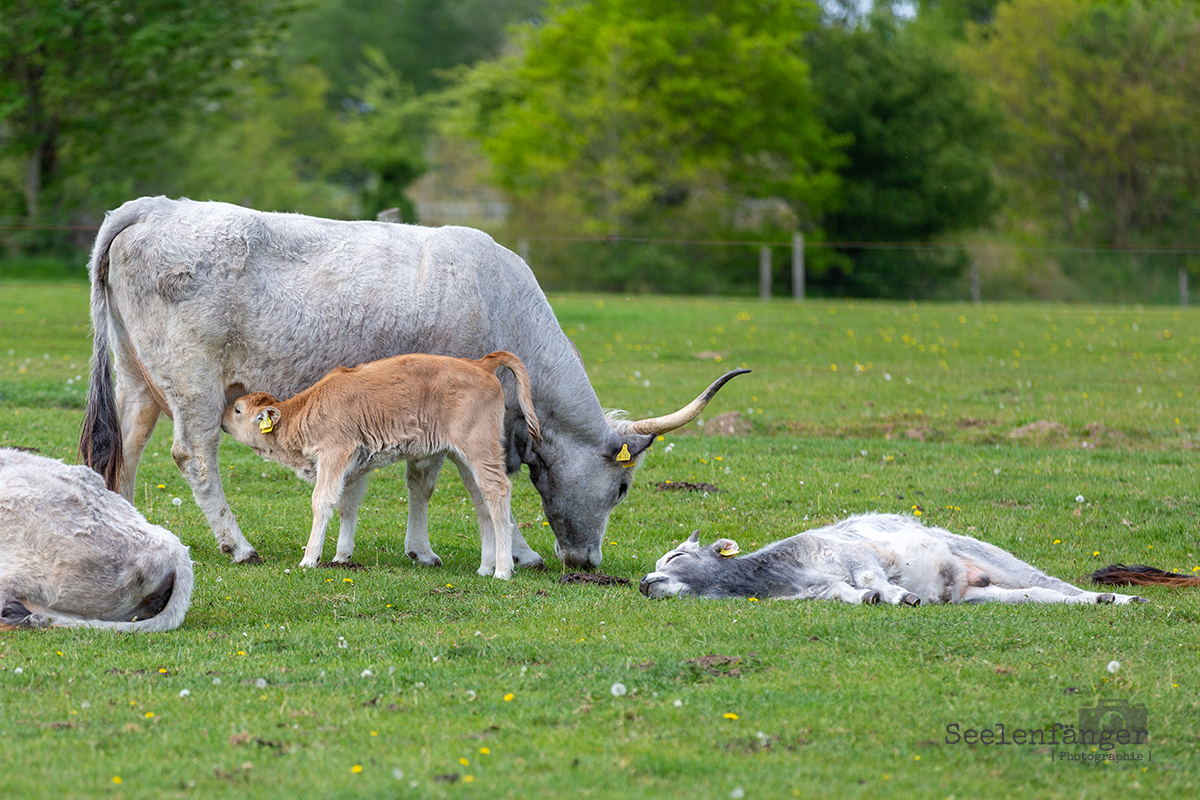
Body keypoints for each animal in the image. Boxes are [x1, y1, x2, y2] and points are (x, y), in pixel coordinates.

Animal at [221, 351, 541, 579]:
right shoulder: (353, 467)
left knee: (498, 492)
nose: (221, 419)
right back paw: (485, 568)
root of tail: (480, 364)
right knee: (481, 500)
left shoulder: (334, 455)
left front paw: (310, 559)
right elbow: (347, 505)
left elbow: (322, 501)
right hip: (463, 459)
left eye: (237, 409)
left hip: (480, 450)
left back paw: (502, 570)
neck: (304, 411)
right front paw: (341, 557)